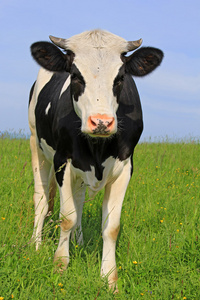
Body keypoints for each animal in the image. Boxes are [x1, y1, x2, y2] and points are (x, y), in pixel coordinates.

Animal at [28, 29, 163, 290]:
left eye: (120, 78)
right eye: (75, 75)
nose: (101, 122)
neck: (97, 148)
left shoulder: (125, 167)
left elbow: (111, 227)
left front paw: (110, 279)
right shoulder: (62, 161)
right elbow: (66, 217)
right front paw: (60, 265)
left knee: (79, 200)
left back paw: (78, 241)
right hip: (36, 146)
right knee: (41, 198)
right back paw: (35, 245)